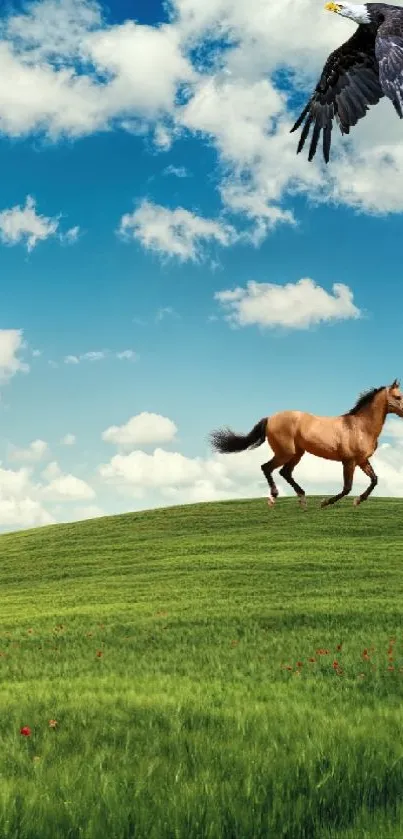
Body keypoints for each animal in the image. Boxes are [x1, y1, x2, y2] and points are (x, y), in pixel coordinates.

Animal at [210, 378, 403, 508]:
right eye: (398, 396)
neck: (360, 426)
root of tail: (270, 418)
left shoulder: (362, 460)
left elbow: (374, 480)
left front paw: (358, 500)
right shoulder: (349, 461)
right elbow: (347, 487)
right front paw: (325, 502)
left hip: (297, 453)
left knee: (285, 472)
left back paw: (302, 499)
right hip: (285, 452)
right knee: (267, 468)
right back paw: (273, 498)